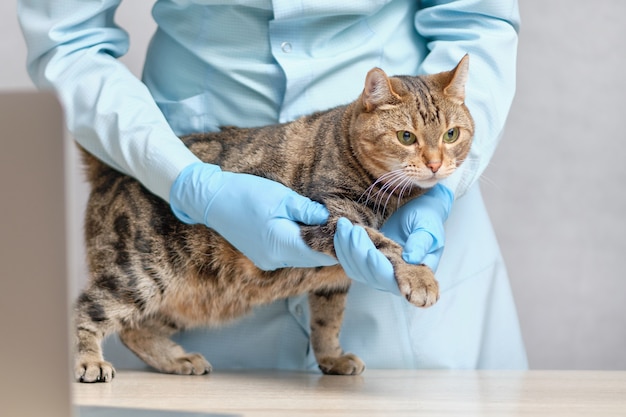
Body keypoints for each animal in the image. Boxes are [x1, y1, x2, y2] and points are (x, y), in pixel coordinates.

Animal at [74, 55, 468, 384]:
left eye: (452, 134)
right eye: (406, 136)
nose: (435, 164)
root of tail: (109, 171)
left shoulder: (334, 279)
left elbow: (327, 321)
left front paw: (332, 358)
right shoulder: (335, 221)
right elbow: (387, 244)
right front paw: (420, 277)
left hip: (184, 297)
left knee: (134, 330)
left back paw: (177, 359)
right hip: (141, 273)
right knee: (88, 309)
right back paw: (90, 362)